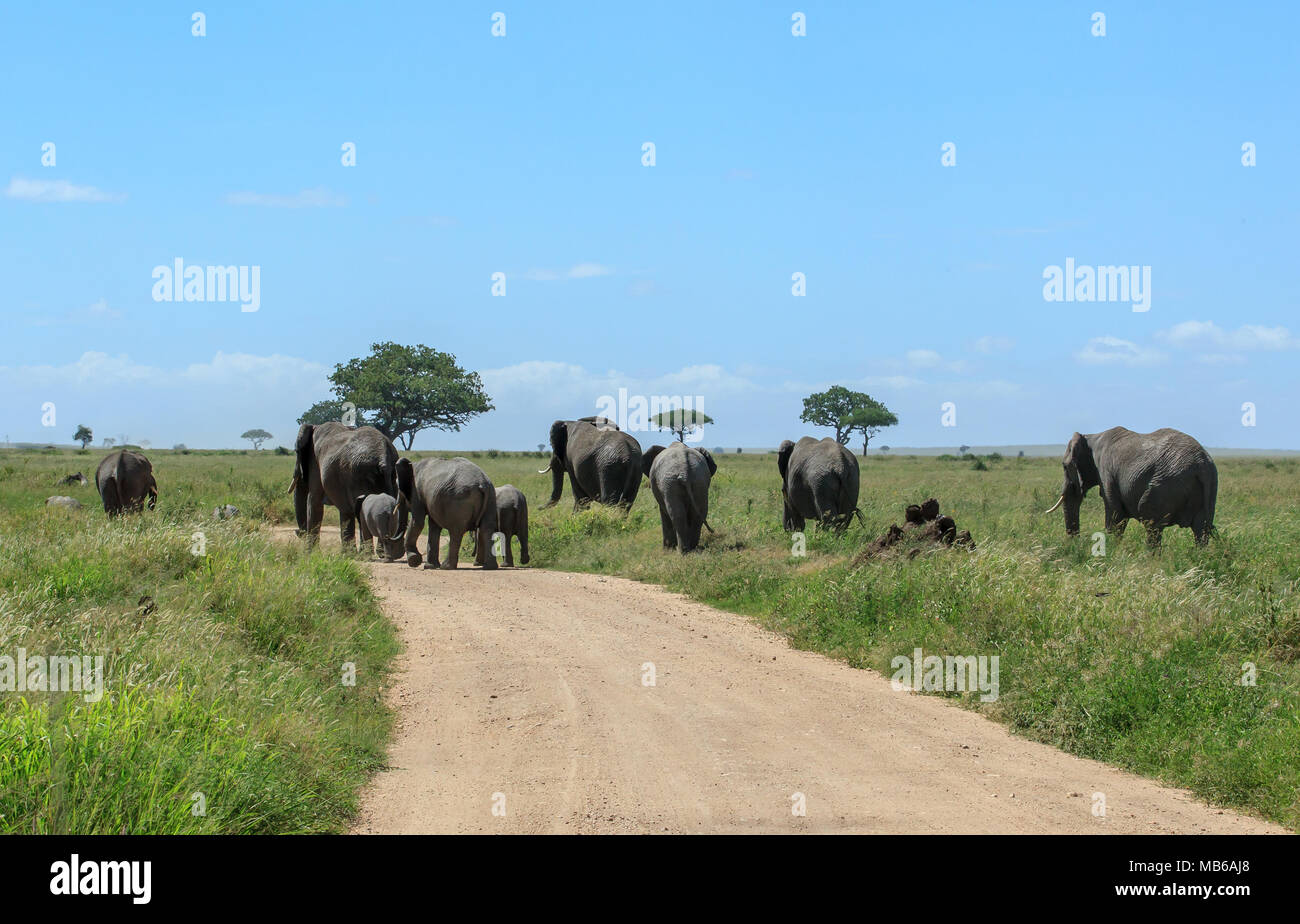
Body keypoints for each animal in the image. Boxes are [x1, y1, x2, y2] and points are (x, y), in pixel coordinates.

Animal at [1045, 428, 1216, 545]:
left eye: (1065, 466)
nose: (1076, 543)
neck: (1092, 437)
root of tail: (1201, 465)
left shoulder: (1106, 471)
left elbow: (1114, 515)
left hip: (1165, 485)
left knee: (1151, 524)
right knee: (1201, 530)